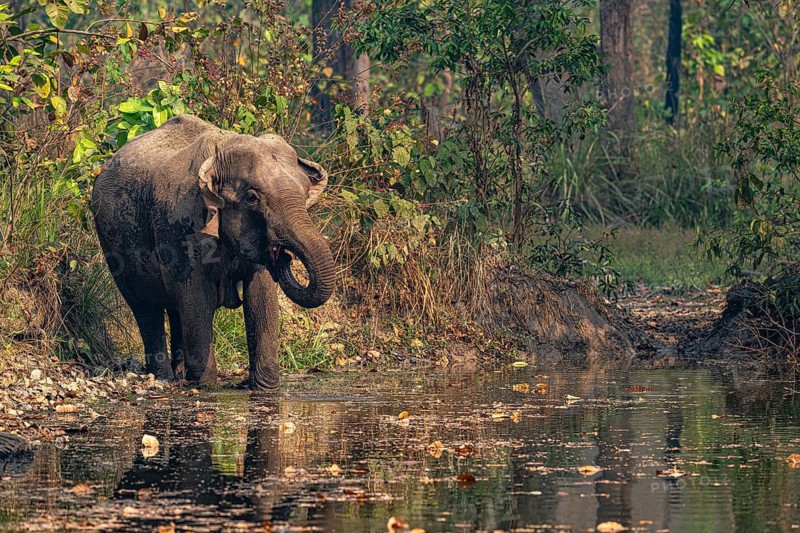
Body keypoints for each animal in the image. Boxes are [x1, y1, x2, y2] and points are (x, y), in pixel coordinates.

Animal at [92, 115, 335, 389]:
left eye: (305, 193)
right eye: (252, 198)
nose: (282, 254)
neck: (221, 152)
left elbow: (260, 297)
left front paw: (264, 388)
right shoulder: (179, 223)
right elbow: (196, 296)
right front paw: (206, 386)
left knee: (175, 309)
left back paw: (180, 374)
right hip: (112, 246)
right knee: (146, 309)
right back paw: (164, 377)